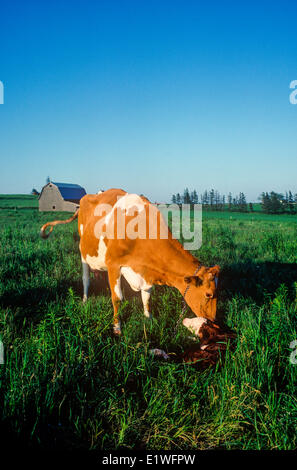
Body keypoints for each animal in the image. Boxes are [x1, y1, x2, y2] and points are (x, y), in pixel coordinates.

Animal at [40, 187, 219, 334]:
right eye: (209, 294)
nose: (213, 321)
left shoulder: (145, 273)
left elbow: (146, 296)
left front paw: (149, 318)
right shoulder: (113, 264)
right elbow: (117, 298)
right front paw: (117, 327)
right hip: (83, 253)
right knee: (86, 279)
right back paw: (84, 299)